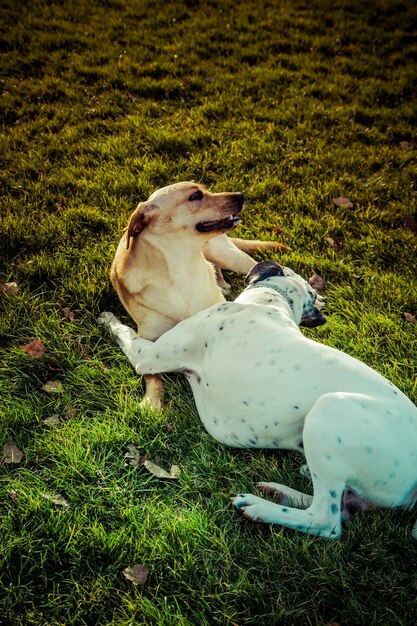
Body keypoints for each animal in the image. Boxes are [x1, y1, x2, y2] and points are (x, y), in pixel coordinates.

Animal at [99, 260, 416, 540]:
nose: (321, 314)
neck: (270, 303)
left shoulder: (148, 356)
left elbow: (125, 332)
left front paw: (108, 318)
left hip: (328, 409)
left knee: (327, 521)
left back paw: (259, 507)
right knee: (342, 507)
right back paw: (281, 490)